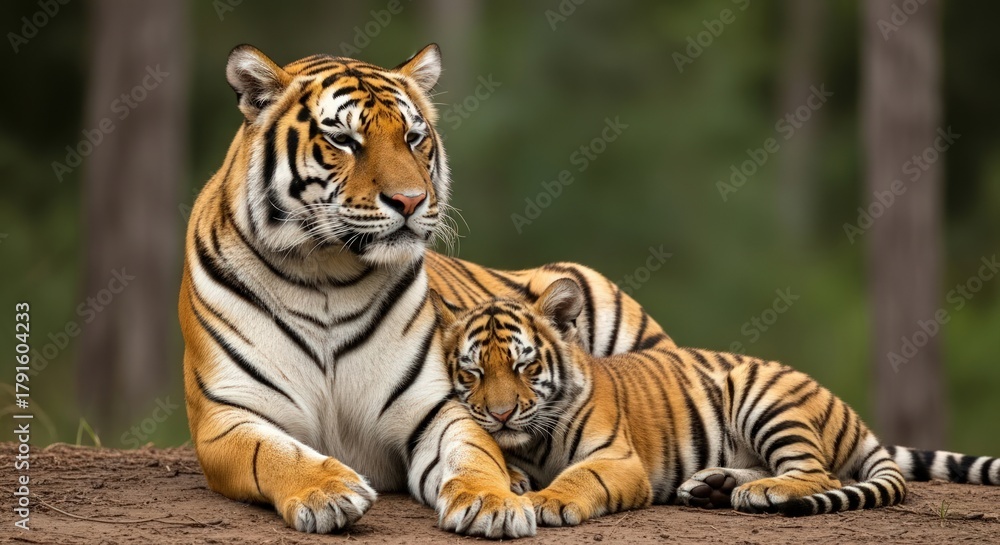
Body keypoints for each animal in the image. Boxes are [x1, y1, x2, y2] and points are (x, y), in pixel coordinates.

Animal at [178, 43, 675, 538]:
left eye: (413, 137)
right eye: (343, 140)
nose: (410, 200)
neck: (327, 274)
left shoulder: (434, 408)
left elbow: (473, 454)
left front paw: (490, 502)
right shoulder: (227, 415)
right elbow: (275, 454)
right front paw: (328, 491)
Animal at [433, 278, 1000, 526]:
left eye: (525, 366)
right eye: (472, 372)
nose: (501, 413)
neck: (530, 441)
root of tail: (852, 416)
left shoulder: (616, 458)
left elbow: (579, 477)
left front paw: (548, 500)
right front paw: (515, 480)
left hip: (762, 397)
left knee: (817, 473)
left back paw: (761, 492)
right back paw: (716, 486)